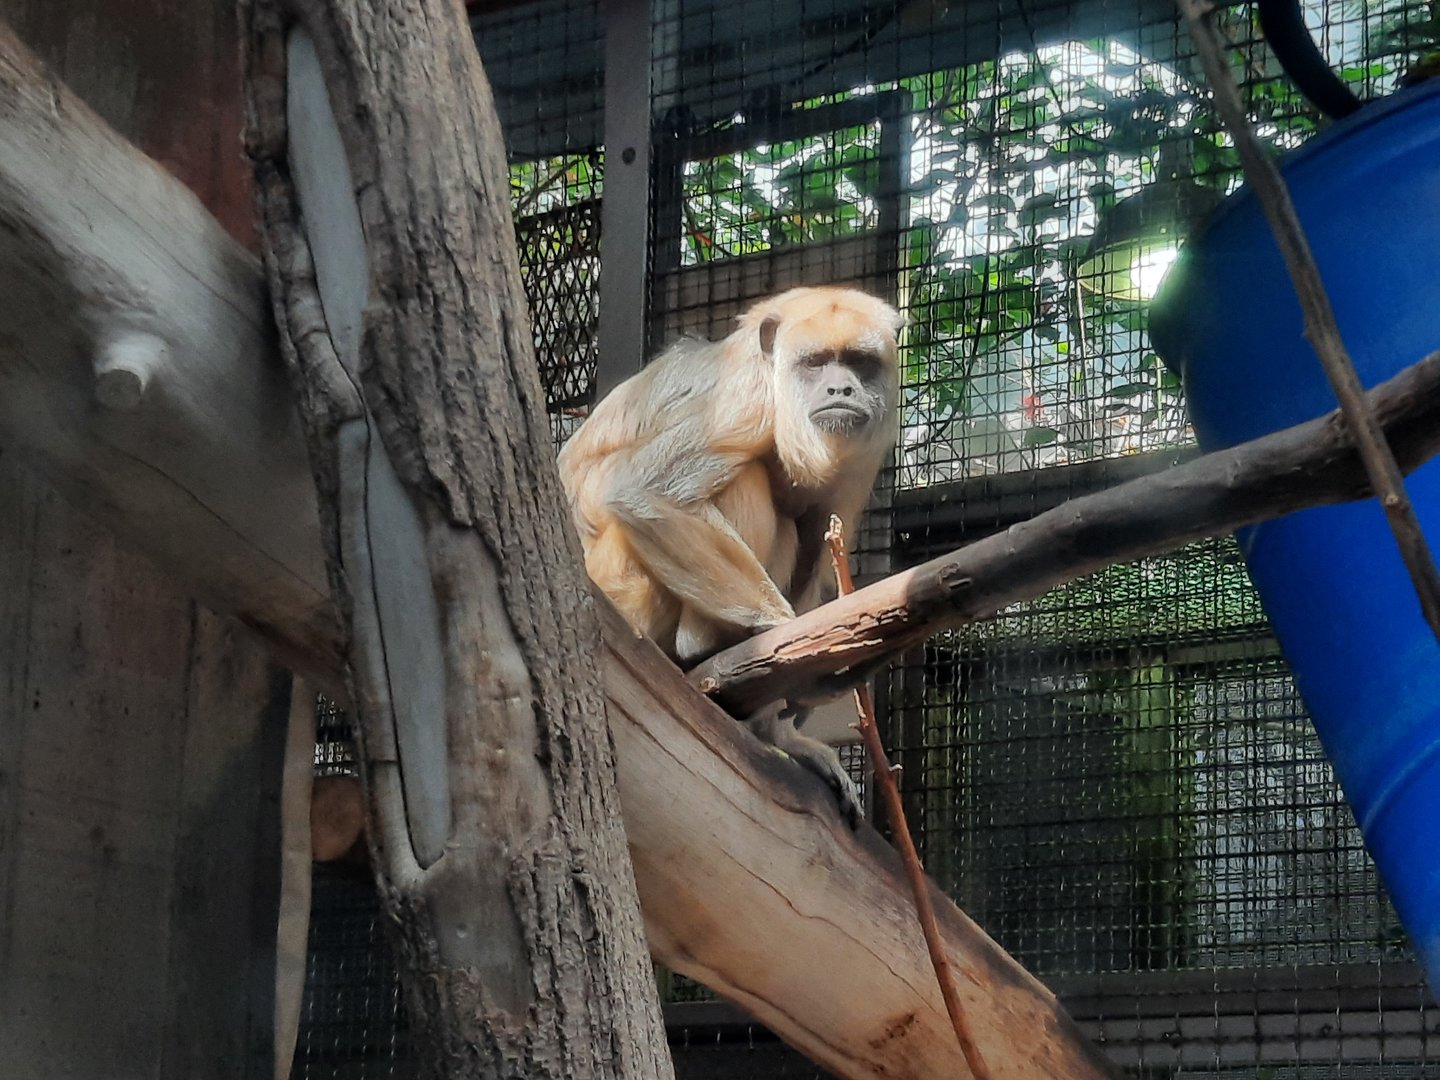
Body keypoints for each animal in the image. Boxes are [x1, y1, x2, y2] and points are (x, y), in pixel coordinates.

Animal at [557, 285, 903, 826]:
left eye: (859, 363)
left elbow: (816, 540)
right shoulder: (743, 398)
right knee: (745, 478)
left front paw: (784, 732)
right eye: (815, 363)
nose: (841, 390)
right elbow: (644, 490)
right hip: (620, 584)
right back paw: (701, 645)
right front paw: (783, 637)